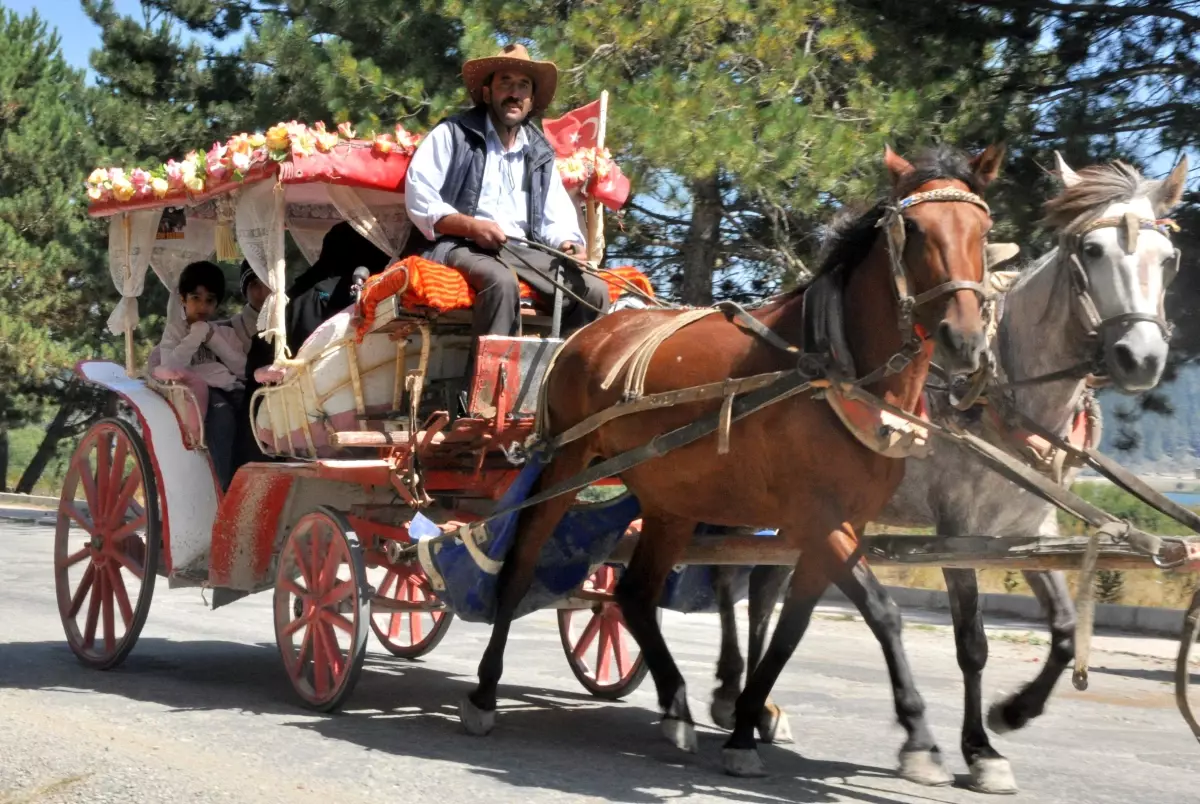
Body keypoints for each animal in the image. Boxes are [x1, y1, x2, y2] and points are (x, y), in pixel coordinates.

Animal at [458, 143, 1003, 787]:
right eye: (914, 229)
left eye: (984, 231)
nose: (964, 341)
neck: (835, 366)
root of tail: (594, 327)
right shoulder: (818, 518)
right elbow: (883, 612)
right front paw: (919, 736)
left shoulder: (841, 523)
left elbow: (791, 629)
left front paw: (746, 724)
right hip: (567, 462)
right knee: (521, 564)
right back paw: (485, 693)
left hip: (670, 499)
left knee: (634, 596)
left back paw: (676, 705)